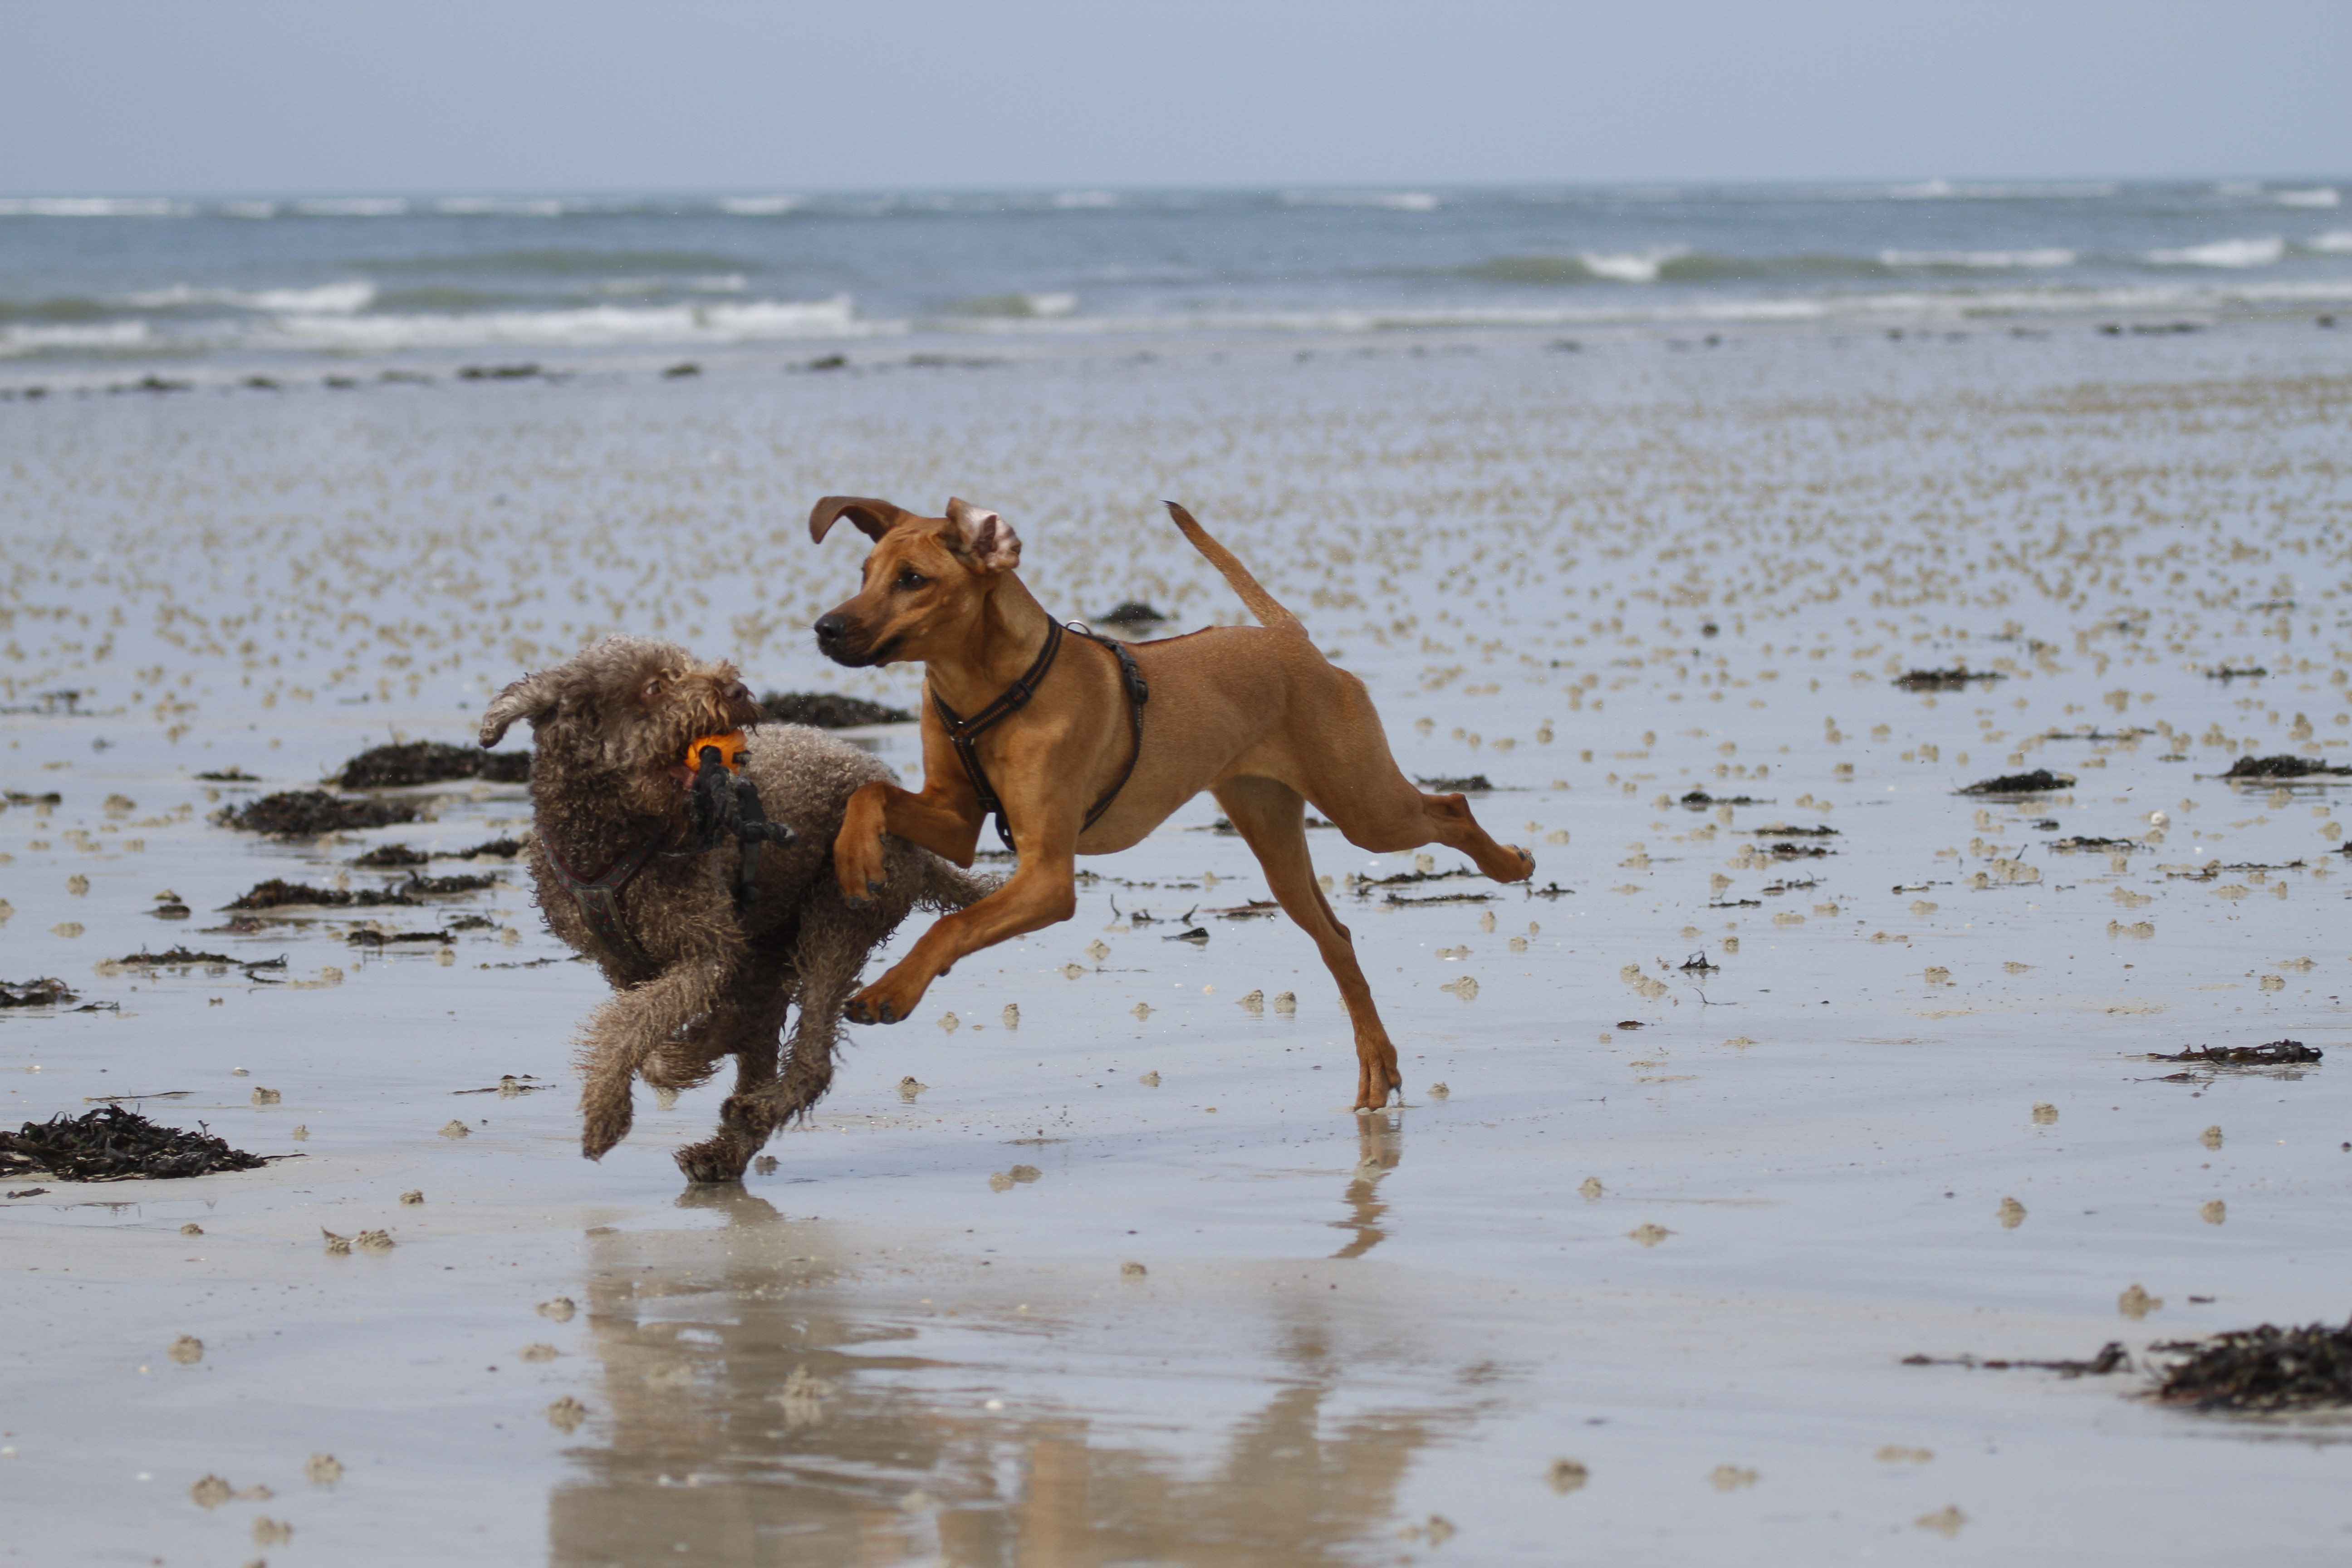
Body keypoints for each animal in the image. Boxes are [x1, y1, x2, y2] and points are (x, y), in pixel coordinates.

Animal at [482, 634, 988, 1175]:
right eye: (654, 687)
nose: (737, 690)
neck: (615, 838)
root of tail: (922, 846)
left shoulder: (707, 948)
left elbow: (629, 1027)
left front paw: (611, 1114)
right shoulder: (625, 960)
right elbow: (640, 1026)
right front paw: (668, 1065)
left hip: (837, 916)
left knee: (811, 1057)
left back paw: (753, 1106)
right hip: (771, 945)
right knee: (762, 1029)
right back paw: (722, 1150)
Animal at [813, 496, 1543, 1109]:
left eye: (913, 580)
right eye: (864, 572)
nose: (824, 629)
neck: (989, 688)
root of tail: (1292, 639)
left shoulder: (1048, 876)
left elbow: (952, 925)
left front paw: (889, 991)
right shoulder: (956, 819)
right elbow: (870, 793)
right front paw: (856, 859)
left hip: (1364, 806)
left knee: (1450, 807)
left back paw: (1510, 865)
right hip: (1272, 829)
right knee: (1337, 939)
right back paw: (1377, 1066)